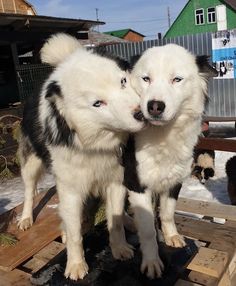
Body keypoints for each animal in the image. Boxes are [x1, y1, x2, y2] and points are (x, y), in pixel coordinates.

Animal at [17, 33, 146, 280]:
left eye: (123, 82)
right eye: (97, 103)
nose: (142, 113)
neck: (93, 145)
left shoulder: (115, 180)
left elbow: (114, 221)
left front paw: (120, 248)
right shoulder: (70, 189)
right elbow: (76, 232)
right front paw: (76, 265)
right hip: (31, 165)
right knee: (29, 192)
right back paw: (26, 219)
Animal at [123, 43, 218, 278]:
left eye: (177, 79)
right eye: (146, 79)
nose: (155, 106)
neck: (163, 135)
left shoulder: (174, 180)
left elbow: (166, 213)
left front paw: (171, 237)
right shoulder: (136, 184)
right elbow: (148, 229)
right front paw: (151, 261)